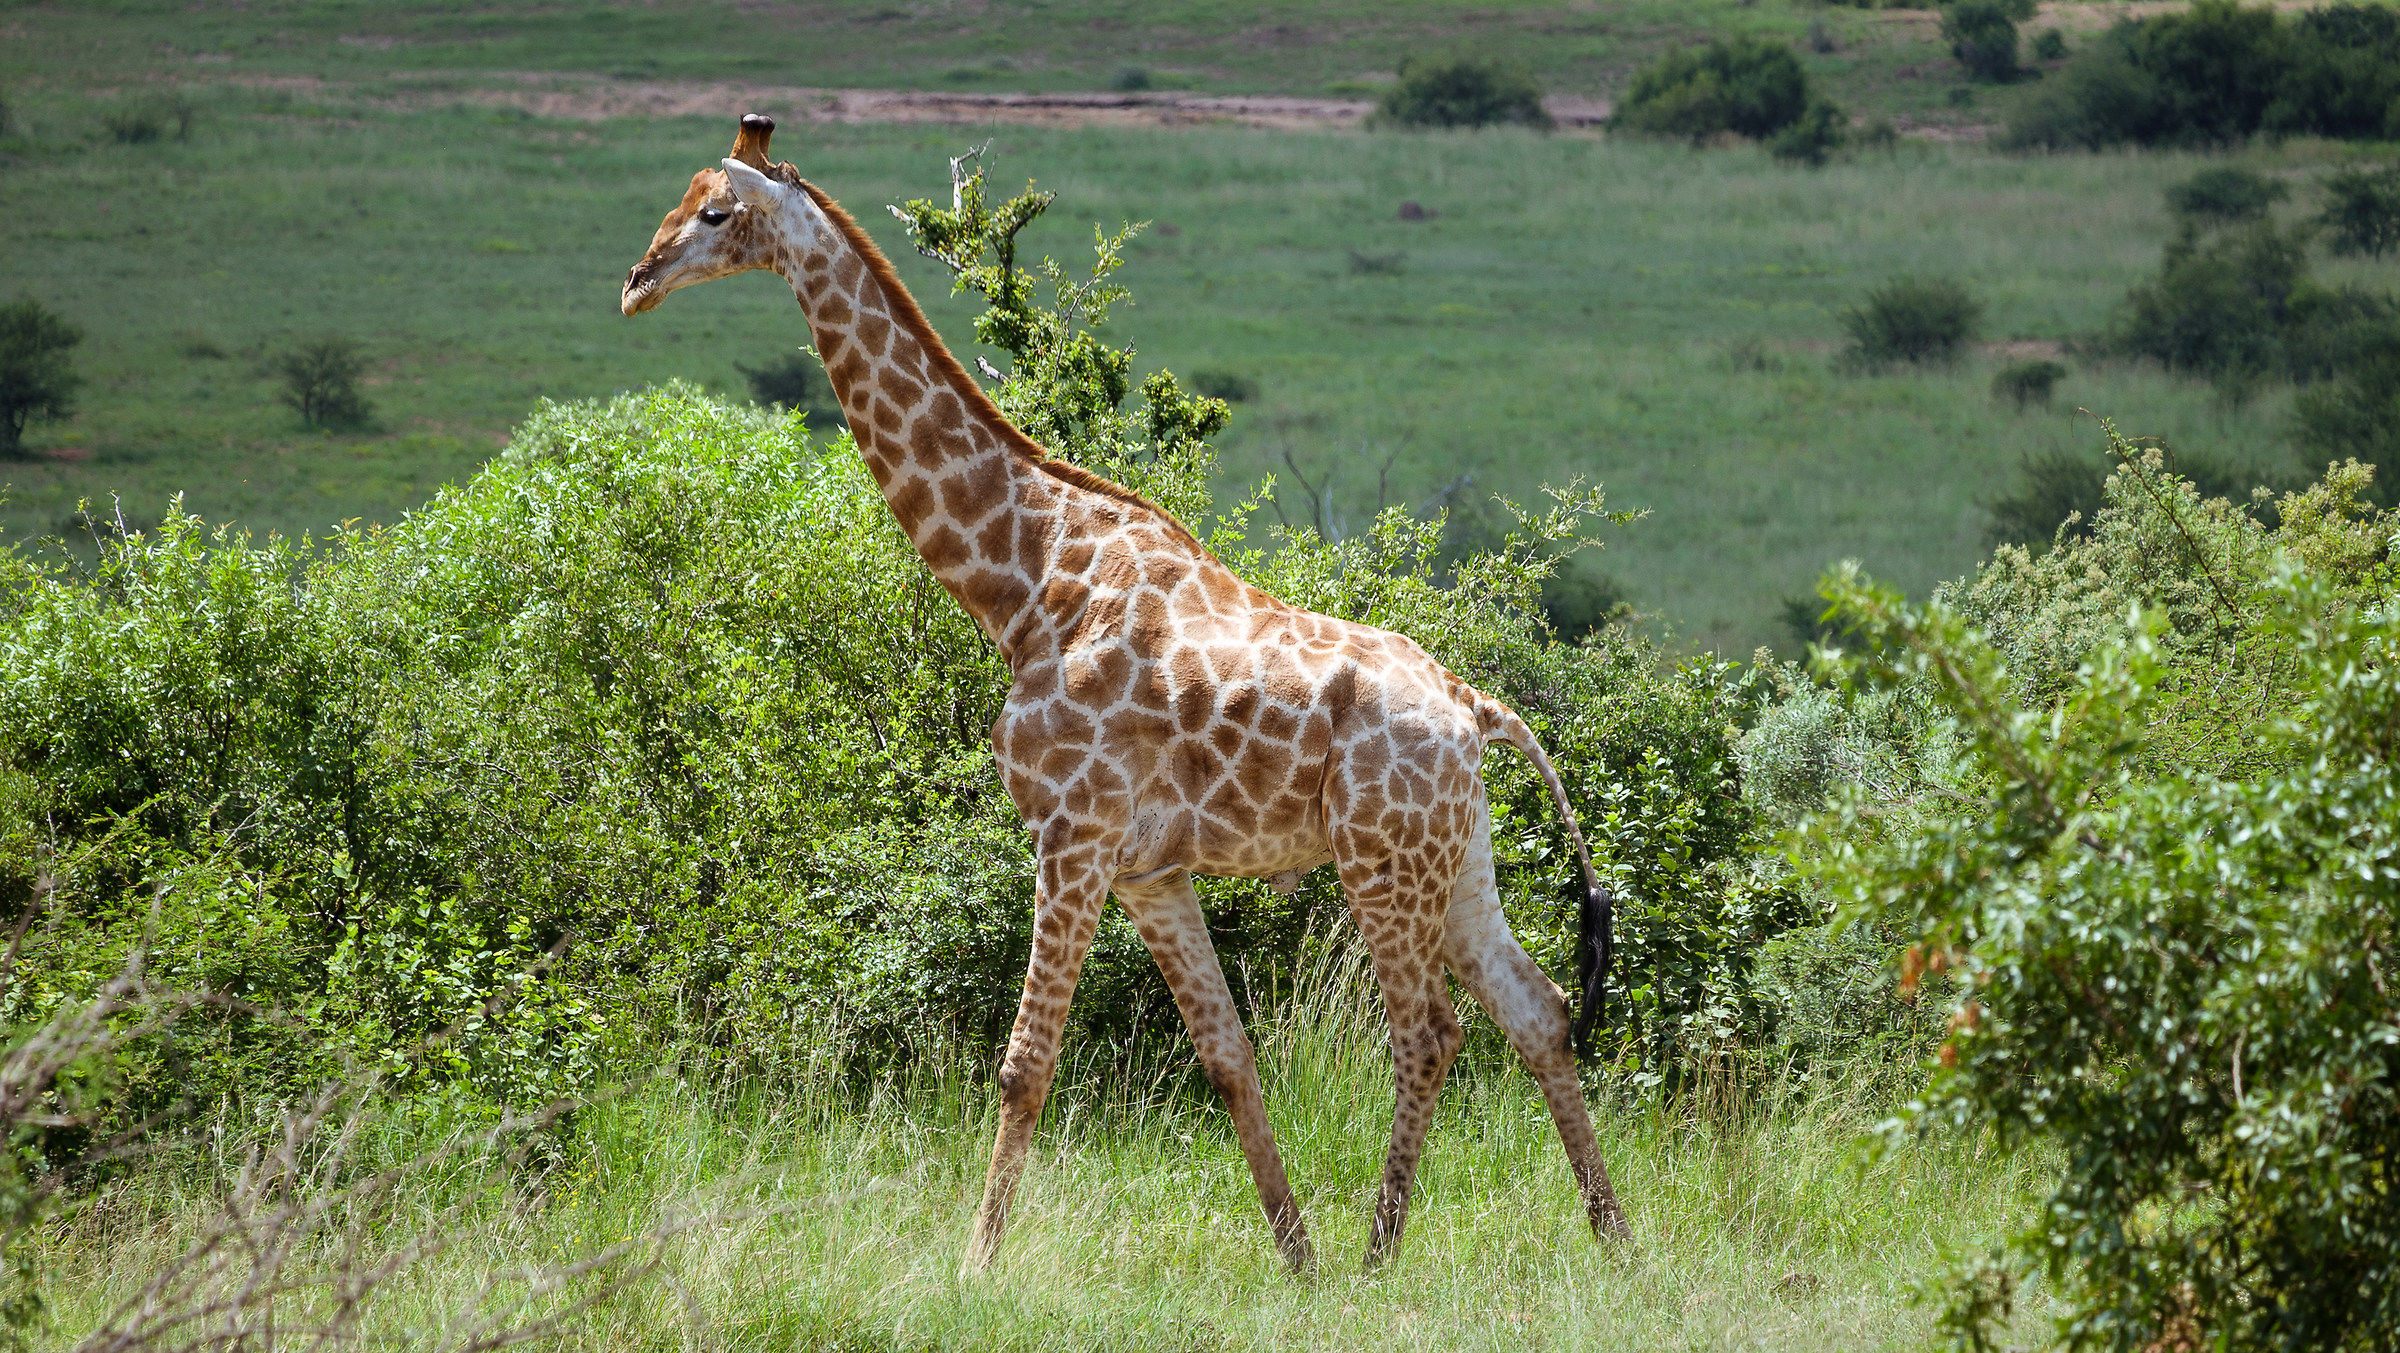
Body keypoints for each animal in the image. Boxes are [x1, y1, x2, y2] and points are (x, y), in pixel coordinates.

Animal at [620, 115, 1630, 1274]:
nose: (637, 283)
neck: (1021, 579)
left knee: (1430, 1032)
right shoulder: (1150, 869)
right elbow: (1227, 1054)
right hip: (1456, 859)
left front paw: (975, 1267)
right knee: (1537, 1009)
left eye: (714, 212)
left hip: (1382, 859)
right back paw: (1614, 1240)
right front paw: (1295, 1260)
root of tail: (1478, 710)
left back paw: (1383, 1255)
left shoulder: (1072, 830)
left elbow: (1025, 1062)